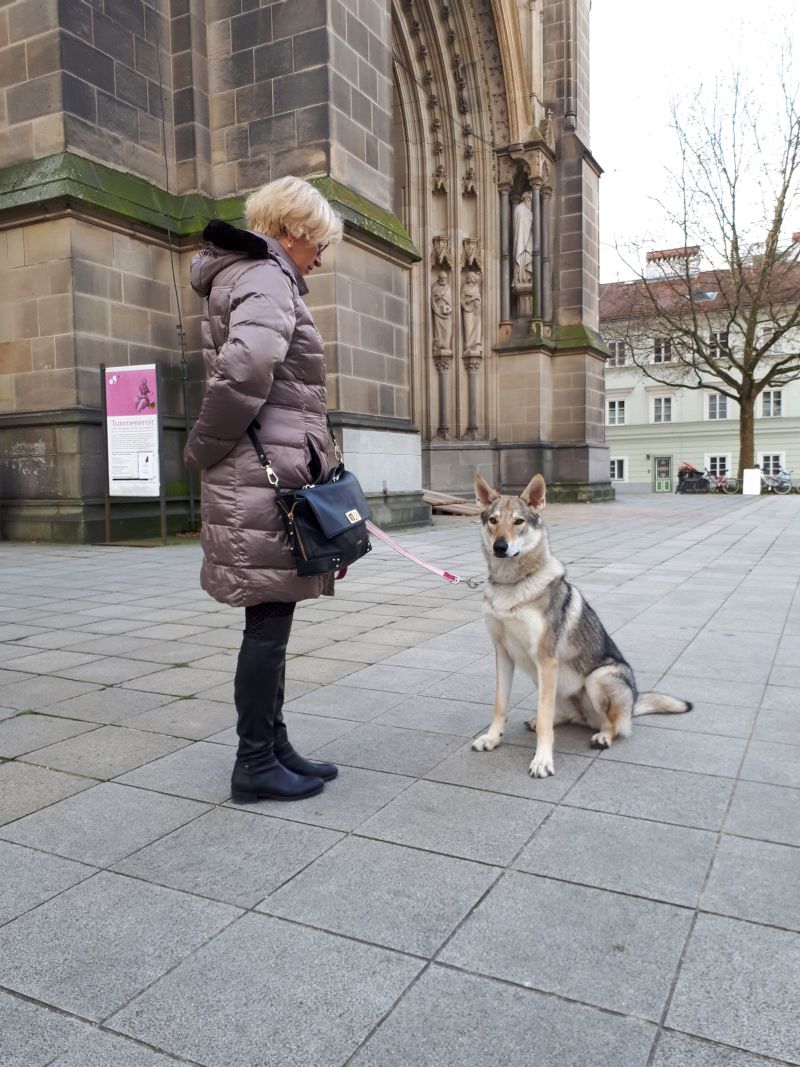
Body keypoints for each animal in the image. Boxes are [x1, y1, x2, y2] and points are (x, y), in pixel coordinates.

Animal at [473, 473, 691, 776]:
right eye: (493, 520)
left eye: (519, 522)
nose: (500, 547)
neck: (511, 586)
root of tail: (634, 701)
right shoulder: (504, 654)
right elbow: (500, 705)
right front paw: (493, 739)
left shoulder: (546, 660)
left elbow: (545, 722)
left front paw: (542, 761)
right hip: (546, 680)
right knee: (567, 715)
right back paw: (544, 720)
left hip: (597, 677)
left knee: (615, 725)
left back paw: (602, 737)